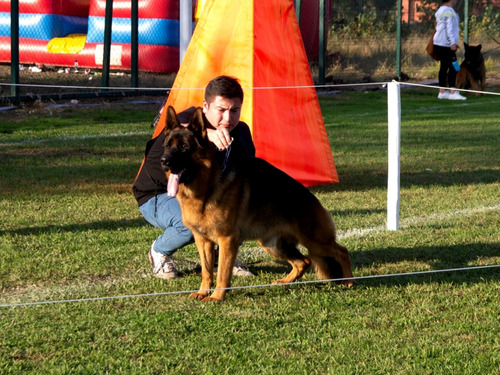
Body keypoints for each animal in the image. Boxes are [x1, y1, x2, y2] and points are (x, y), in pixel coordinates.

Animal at [162, 106, 354, 302]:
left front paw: (217, 296)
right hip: (272, 245)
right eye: (167, 146)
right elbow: (206, 271)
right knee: (304, 262)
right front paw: (203, 292)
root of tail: (313, 199)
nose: (164, 161)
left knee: (342, 251)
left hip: (314, 241)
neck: (207, 187)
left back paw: (349, 281)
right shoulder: (203, 241)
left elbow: (222, 272)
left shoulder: (227, 240)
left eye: (184, 147)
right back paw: (285, 282)